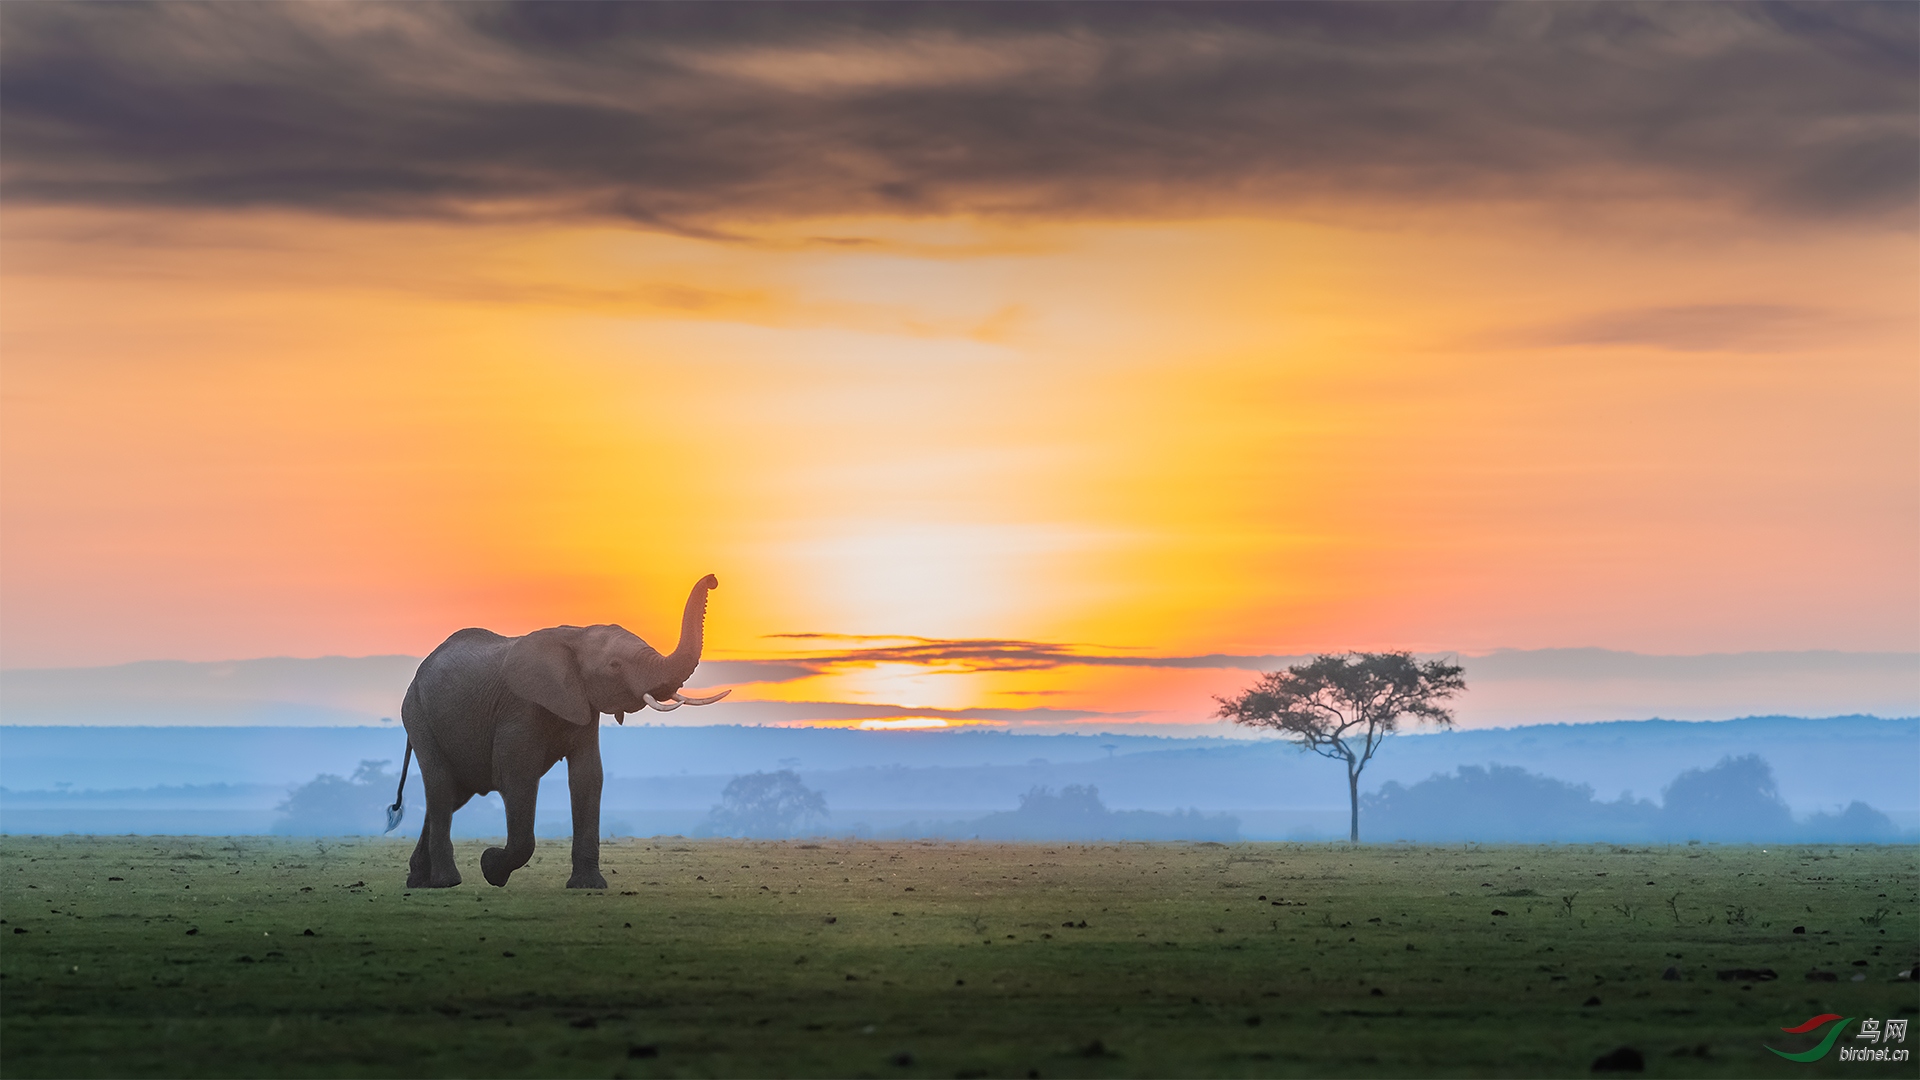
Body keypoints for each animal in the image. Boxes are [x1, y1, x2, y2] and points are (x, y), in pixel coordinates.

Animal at [385, 572, 729, 883]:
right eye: (615, 665)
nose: (714, 580)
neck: (576, 636)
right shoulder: (519, 710)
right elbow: (517, 778)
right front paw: (491, 867)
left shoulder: (584, 706)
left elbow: (588, 777)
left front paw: (589, 886)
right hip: (418, 716)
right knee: (441, 788)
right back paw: (447, 881)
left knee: (451, 796)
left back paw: (419, 880)